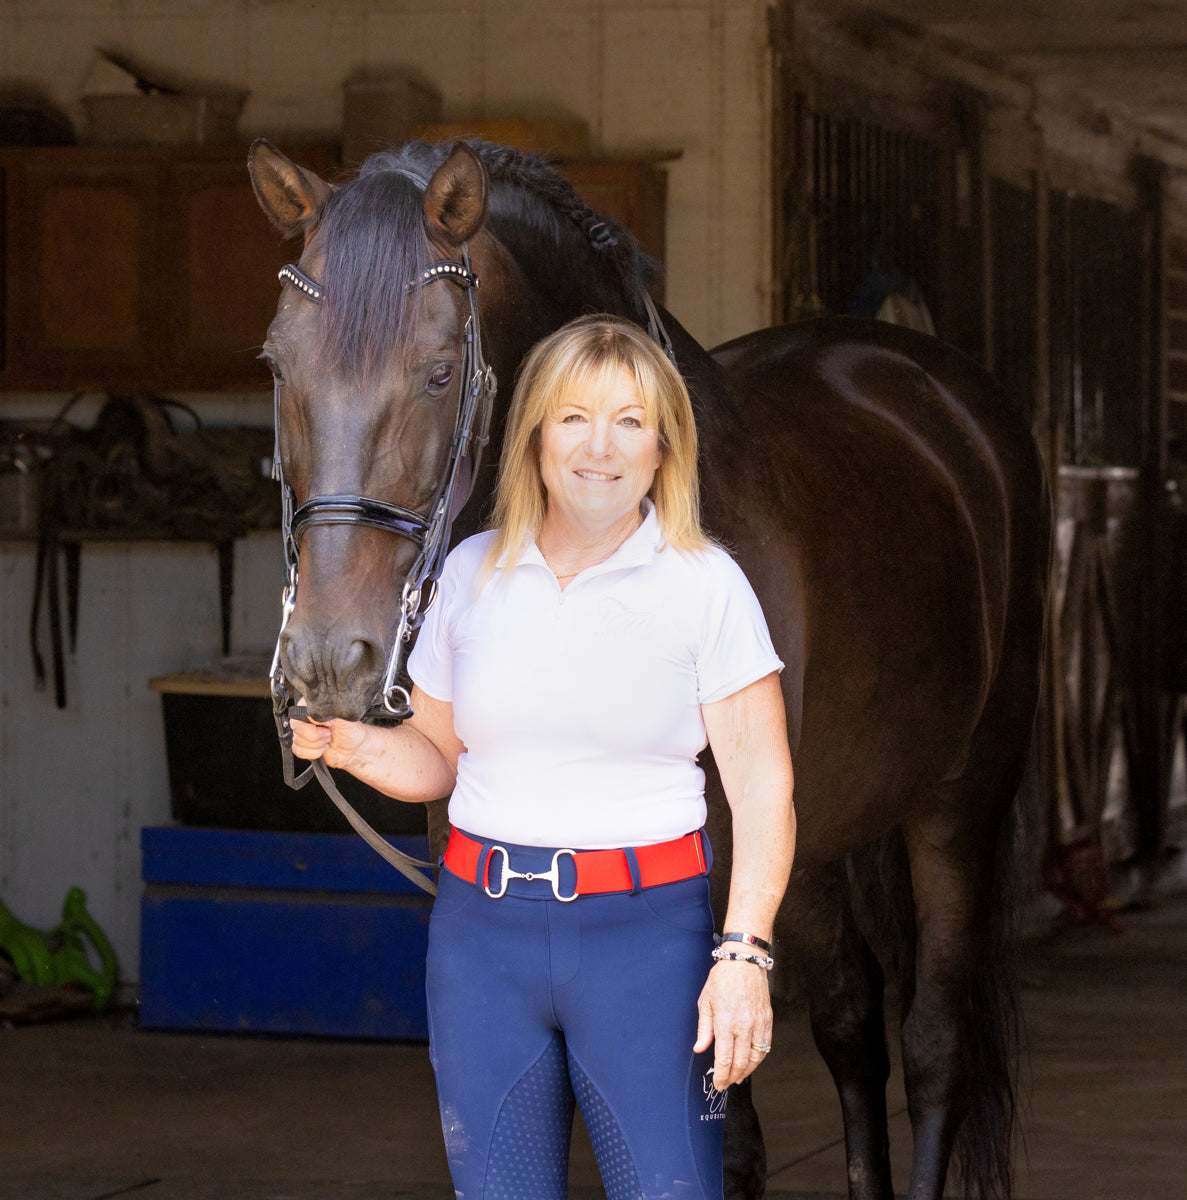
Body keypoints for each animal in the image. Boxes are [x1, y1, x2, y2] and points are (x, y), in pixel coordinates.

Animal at [247, 136, 1046, 1200]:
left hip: (960, 802)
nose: (331, 660)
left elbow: (724, 1141)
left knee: (933, 1046)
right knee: (849, 1026)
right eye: (276, 363)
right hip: (815, 834)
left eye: (437, 371)